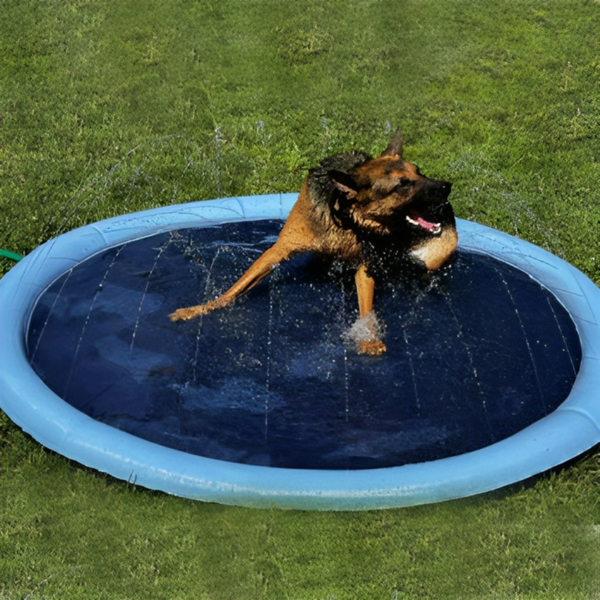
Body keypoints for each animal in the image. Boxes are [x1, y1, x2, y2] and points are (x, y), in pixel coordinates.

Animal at [170, 130, 460, 356]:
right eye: (402, 185)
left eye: (419, 172)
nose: (447, 187)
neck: (346, 219)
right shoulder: (280, 249)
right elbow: (235, 289)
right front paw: (199, 309)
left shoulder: (365, 265)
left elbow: (366, 308)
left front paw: (367, 339)